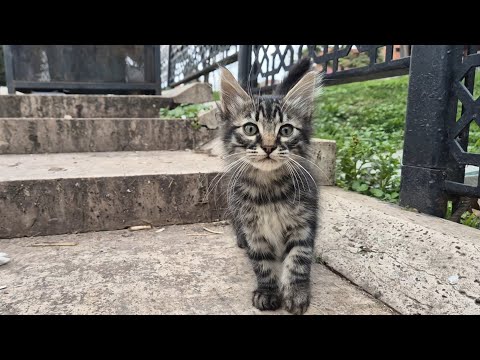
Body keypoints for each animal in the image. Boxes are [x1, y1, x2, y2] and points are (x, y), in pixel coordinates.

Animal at [218, 57, 322, 314]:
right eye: (250, 128)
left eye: (286, 130)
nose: (268, 146)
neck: (269, 190)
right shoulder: (253, 229)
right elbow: (262, 264)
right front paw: (267, 291)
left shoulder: (303, 223)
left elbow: (298, 259)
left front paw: (296, 293)